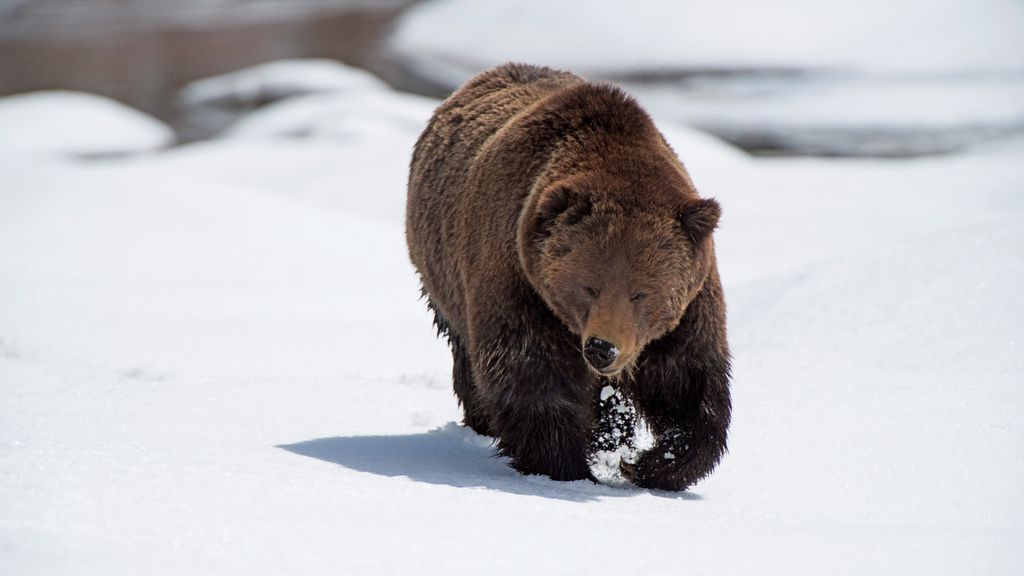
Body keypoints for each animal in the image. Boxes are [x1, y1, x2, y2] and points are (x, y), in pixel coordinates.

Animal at [406, 63, 731, 491]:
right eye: (589, 287)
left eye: (640, 293)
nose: (602, 348)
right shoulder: (520, 281)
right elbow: (532, 374)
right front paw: (567, 467)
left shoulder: (689, 307)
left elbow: (688, 382)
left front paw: (649, 463)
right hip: (443, 277)